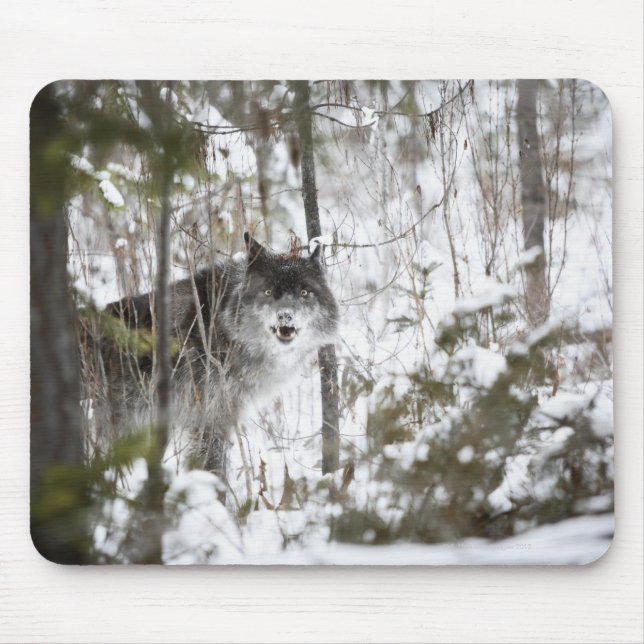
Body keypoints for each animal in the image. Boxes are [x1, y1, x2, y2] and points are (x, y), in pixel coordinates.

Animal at [95, 232, 339, 483]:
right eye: (268, 292)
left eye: (304, 292)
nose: (285, 316)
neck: (223, 328)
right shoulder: (208, 416)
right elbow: (213, 465)